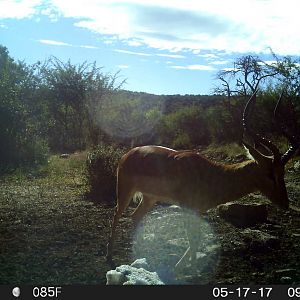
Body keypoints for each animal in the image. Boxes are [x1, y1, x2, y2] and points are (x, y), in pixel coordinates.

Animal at [105, 91, 298, 270]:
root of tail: (128, 154)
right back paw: (109, 257)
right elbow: (192, 238)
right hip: (125, 191)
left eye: (283, 172)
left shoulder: (198, 210)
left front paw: (185, 266)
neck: (211, 173)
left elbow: (196, 238)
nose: (285, 203)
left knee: (135, 216)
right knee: (116, 215)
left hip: (150, 198)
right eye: (269, 173)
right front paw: (188, 268)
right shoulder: (187, 207)